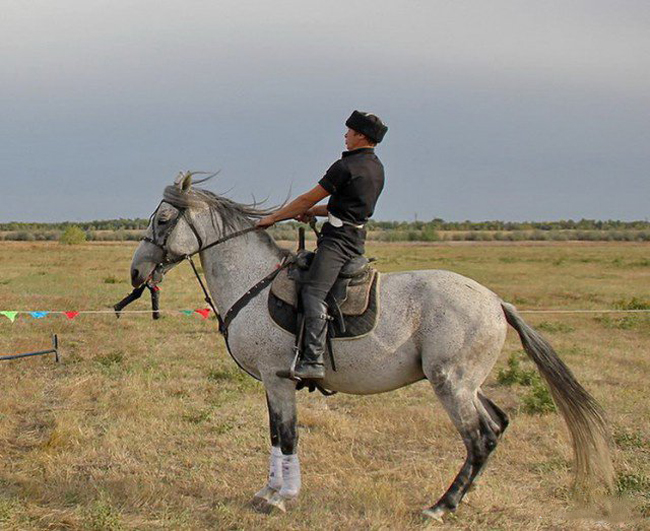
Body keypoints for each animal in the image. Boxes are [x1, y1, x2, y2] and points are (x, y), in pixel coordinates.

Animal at [129, 174, 612, 520]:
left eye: (163, 220)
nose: (137, 272)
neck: (253, 279)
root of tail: (496, 302)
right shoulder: (271, 382)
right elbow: (275, 435)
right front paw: (267, 489)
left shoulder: (278, 377)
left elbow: (288, 434)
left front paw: (282, 497)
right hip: (468, 382)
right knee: (496, 425)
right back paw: (463, 496)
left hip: (450, 383)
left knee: (478, 437)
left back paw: (440, 507)